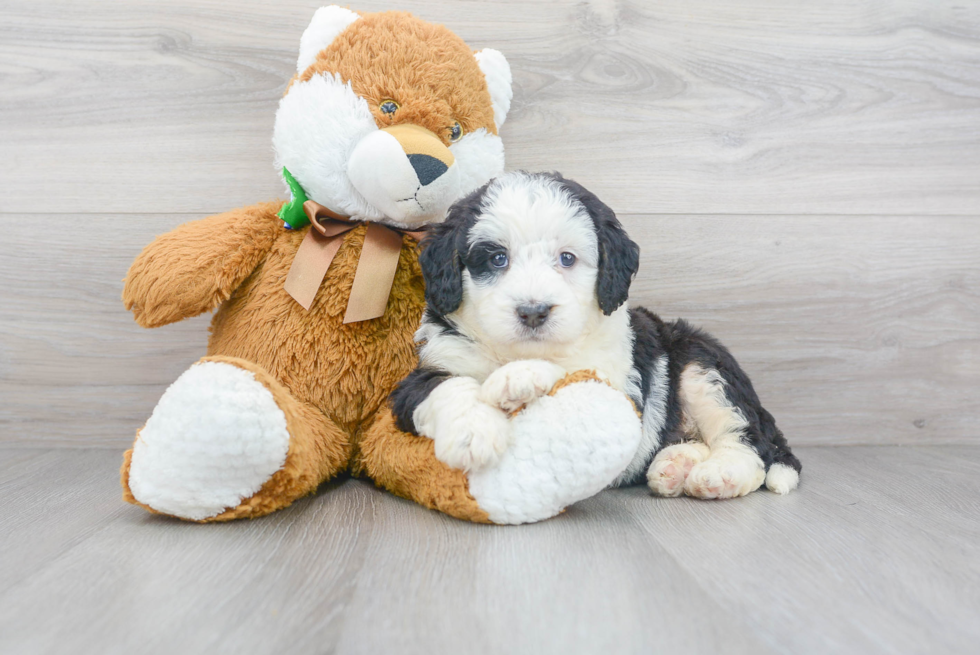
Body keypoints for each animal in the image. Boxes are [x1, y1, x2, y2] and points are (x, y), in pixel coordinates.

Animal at [386, 172, 800, 500]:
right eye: (497, 258)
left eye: (567, 258)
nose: (534, 311)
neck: (513, 351)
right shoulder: (429, 367)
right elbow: (448, 386)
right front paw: (472, 433)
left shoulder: (619, 383)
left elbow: (573, 369)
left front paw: (519, 377)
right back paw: (674, 464)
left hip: (702, 365)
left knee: (749, 442)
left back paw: (719, 474)